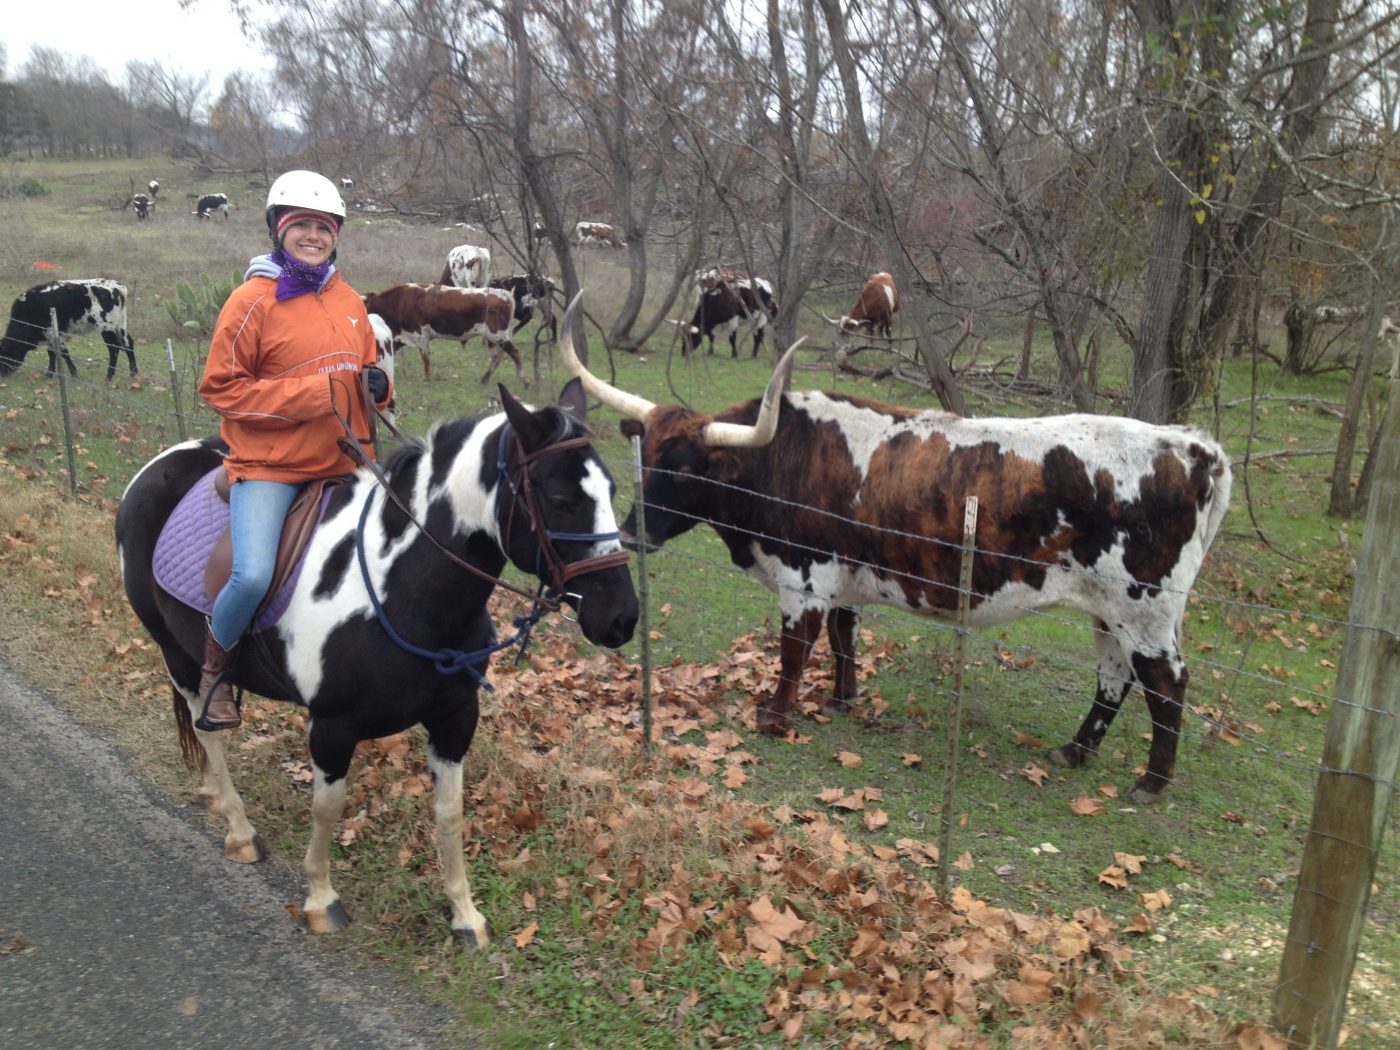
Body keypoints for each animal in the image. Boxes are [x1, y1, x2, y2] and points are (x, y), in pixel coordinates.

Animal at [0, 277, 136, 380]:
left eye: (4, 353)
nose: (3, 374)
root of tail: (117, 286)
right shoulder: (49, 335)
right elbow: (52, 353)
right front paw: (49, 374)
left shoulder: (53, 332)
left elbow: (63, 352)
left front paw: (73, 374)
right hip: (121, 325)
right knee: (128, 344)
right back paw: (133, 374)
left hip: (106, 327)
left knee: (114, 348)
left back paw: (109, 377)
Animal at [116, 378, 641, 946]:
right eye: (561, 500)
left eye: (611, 492)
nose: (622, 617)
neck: (404, 592)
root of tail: (165, 462)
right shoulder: (332, 726)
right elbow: (327, 808)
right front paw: (321, 899)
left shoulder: (456, 719)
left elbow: (450, 813)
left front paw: (465, 915)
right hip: (178, 655)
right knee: (205, 728)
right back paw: (239, 829)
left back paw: (214, 795)